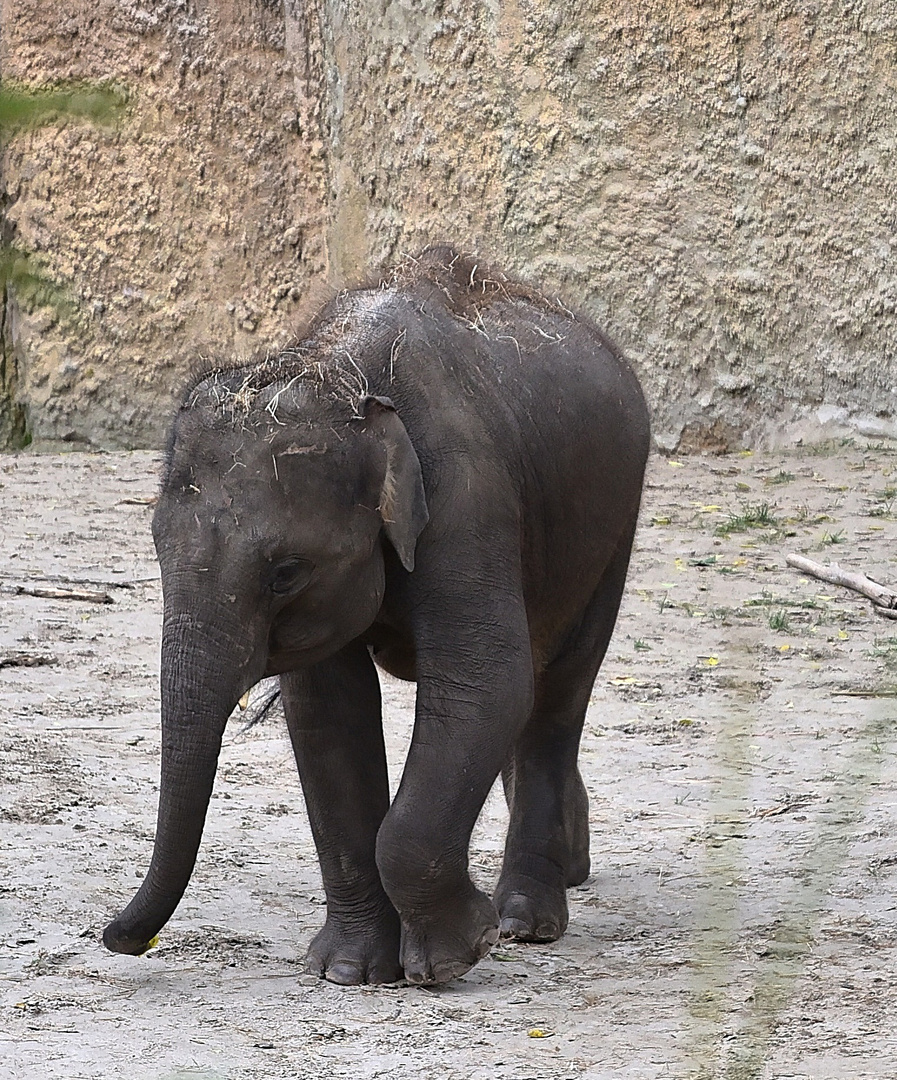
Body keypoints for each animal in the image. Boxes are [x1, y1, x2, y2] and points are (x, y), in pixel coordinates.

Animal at [103, 247, 651, 989]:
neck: (340, 371)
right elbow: (327, 712)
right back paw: (570, 866)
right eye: (156, 544)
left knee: (556, 692)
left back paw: (525, 920)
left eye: (286, 572)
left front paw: (456, 953)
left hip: (611, 525)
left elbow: (483, 683)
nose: (115, 938)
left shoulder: (468, 499)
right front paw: (348, 972)